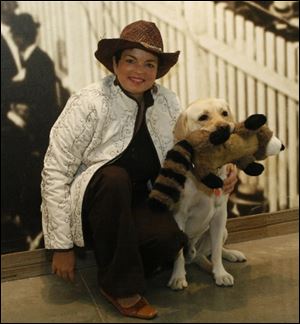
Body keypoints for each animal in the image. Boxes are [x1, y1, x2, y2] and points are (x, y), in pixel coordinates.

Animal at [168, 97, 247, 290]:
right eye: (203, 117)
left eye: (224, 113)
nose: (224, 127)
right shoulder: (179, 216)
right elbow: (178, 255)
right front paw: (178, 277)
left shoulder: (220, 215)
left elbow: (217, 250)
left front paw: (220, 273)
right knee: (192, 256)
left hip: (223, 229)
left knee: (211, 251)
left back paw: (230, 254)